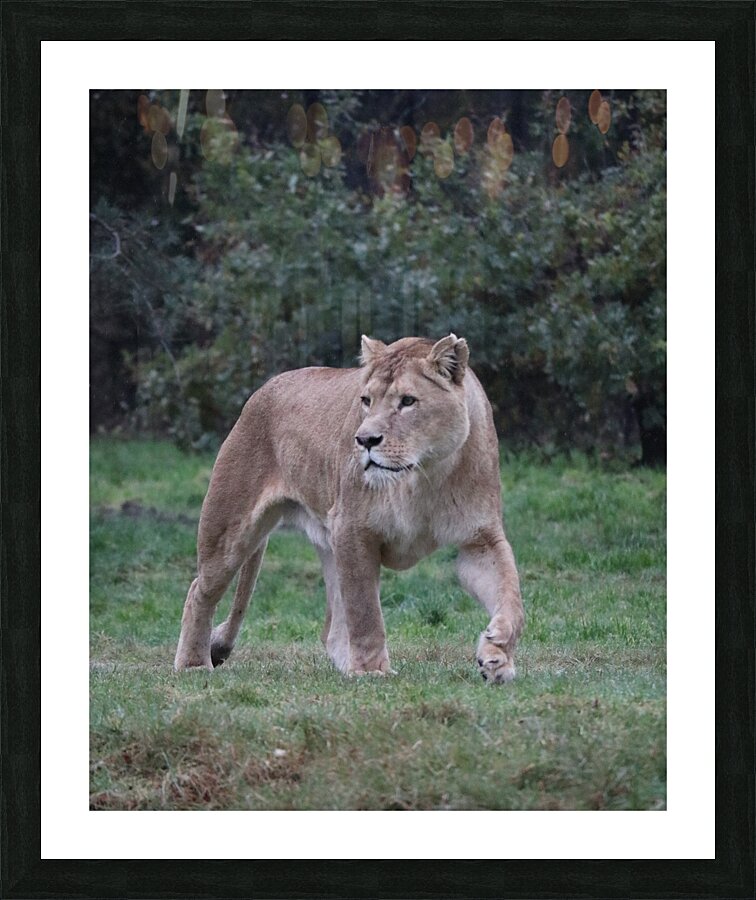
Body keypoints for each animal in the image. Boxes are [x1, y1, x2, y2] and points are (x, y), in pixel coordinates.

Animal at [174, 335, 524, 683]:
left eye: (408, 401)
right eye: (366, 400)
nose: (365, 439)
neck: (422, 475)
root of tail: (265, 388)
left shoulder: (479, 540)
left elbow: (511, 594)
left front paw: (497, 653)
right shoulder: (353, 529)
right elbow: (364, 610)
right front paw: (371, 670)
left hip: (328, 542)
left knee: (331, 628)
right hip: (230, 528)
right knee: (198, 591)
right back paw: (193, 663)